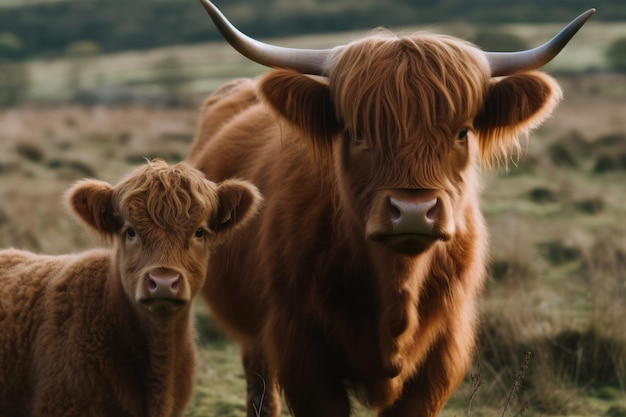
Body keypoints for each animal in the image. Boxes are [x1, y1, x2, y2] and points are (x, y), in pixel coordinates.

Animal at [188, 3, 592, 416]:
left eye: (462, 132)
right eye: (357, 132)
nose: (413, 210)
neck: (396, 284)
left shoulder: (442, 353)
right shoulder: (300, 348)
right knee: (261, 387)